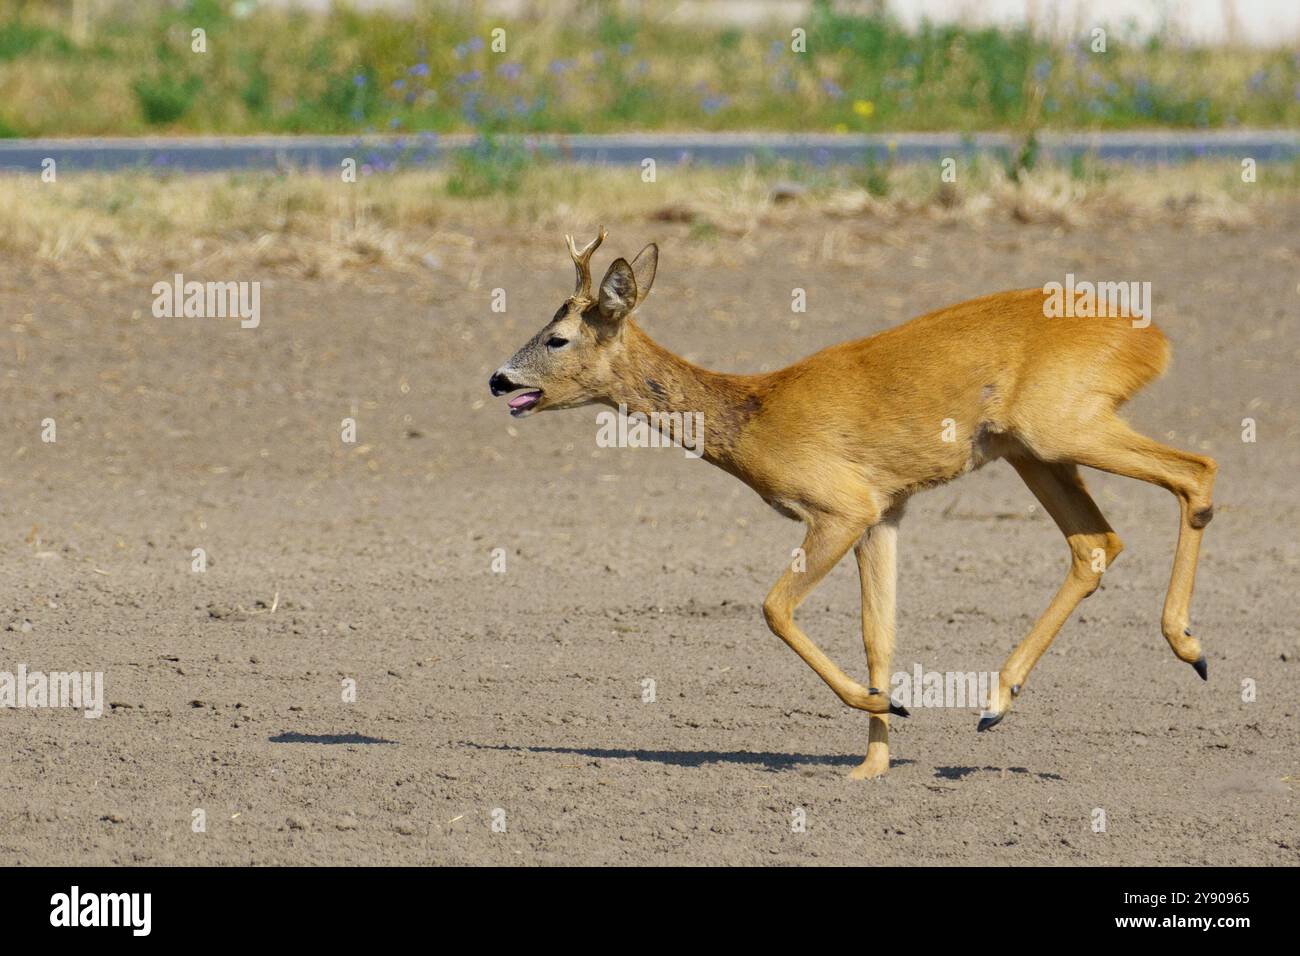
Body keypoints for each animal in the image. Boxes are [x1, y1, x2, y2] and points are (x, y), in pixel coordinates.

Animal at [488, 230, 1216, 780]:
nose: (498, 379)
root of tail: (1152, 338)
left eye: (557, 337)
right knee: (1095, 542)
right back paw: (994, 702)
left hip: (1061, 429)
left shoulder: (840, 509)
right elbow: (877, 635)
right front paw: (872, 759)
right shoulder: (884, 514)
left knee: (1197, 473)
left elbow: (774, 608)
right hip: (1032, 451)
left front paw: (888, 711)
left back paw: (1189, 646)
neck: (756, 412)